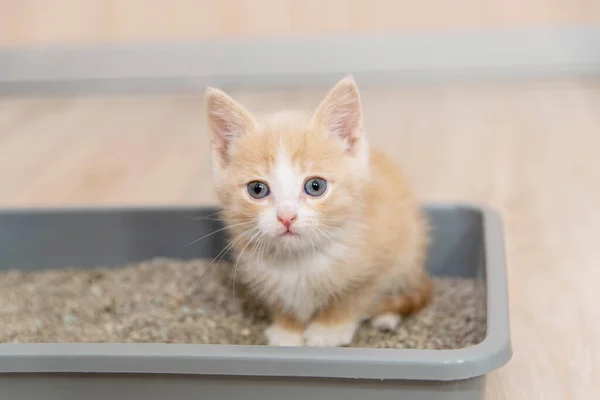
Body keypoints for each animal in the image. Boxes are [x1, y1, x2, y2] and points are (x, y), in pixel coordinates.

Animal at [205, 76, 432, 346]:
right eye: (257, 189)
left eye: (316, 186)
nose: (286, 217)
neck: (300, 259)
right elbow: (282, 301)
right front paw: (287, 330)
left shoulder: (384, 258)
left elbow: (356, 295)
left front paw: (328, 329)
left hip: (411, 250)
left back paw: (386, 317)